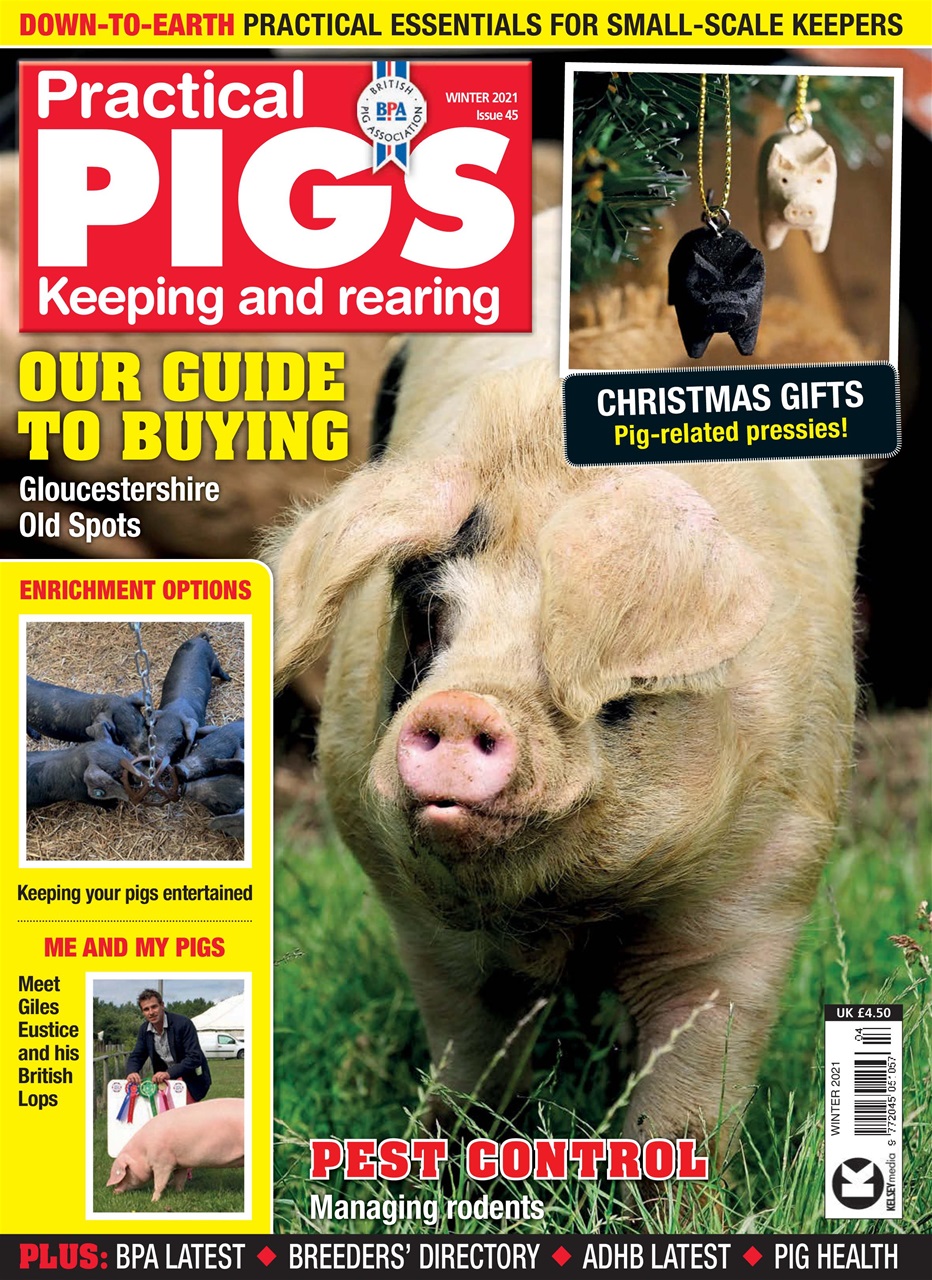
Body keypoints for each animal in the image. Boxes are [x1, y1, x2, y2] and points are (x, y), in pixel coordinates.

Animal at [106, 1097, 245, 1201]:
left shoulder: (162, 1163)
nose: (114, 1191)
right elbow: (179, 1180)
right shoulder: (181, 1163)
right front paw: (179, 1193)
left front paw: (153, 1201)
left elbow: (159, 1183)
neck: (144, 1151)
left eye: (126, 1172)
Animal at [267, 206, 861, 1163]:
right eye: (429, 618)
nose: (462, 703)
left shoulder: (760, 890)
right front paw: (452, 1152)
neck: (564, 913)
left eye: (584, 645)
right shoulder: (422, 914)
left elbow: (693, 1101)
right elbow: (473, 1056)